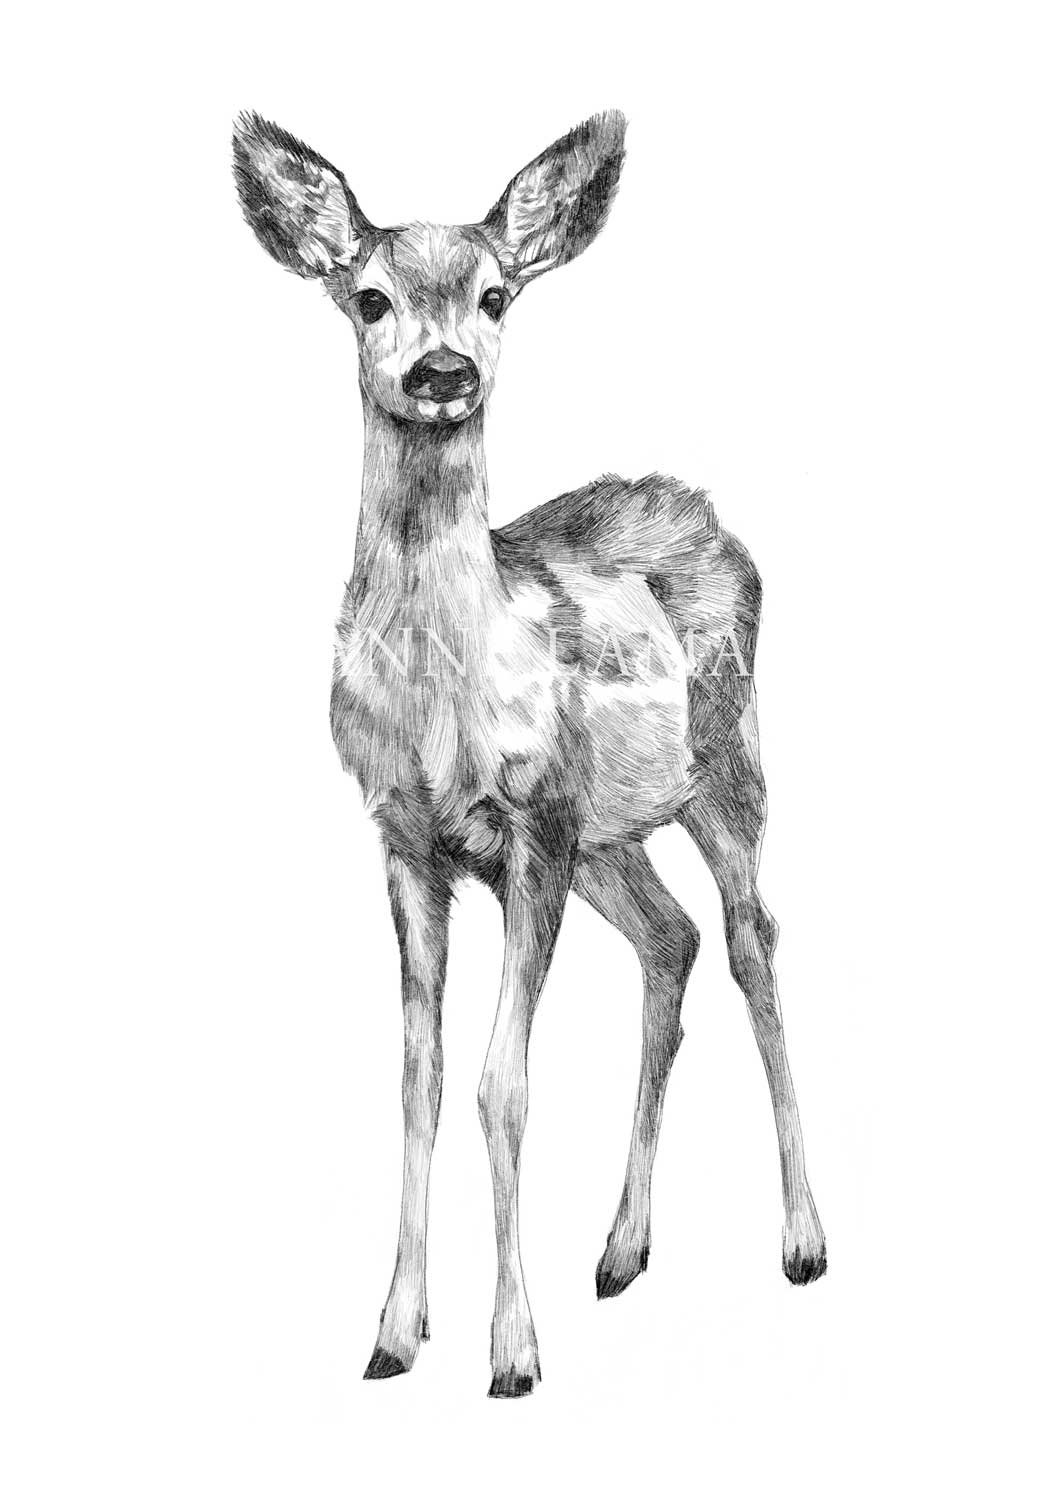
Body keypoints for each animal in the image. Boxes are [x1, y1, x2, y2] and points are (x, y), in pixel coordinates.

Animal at [232, 109, 826, 1398]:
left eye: (497, 294)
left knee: (753, 941)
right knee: (671, 940)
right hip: (612, 836)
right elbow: (419, 1083)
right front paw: (394, 1334)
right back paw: (620, 1251)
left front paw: (511, 1352)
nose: (443, 371)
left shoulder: (530, 825)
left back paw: (804, 1240)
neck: (441, 698)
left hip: (726, 769)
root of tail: (713, 517)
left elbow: (503, 1082)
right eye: (367, 298)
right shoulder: (409, 840)